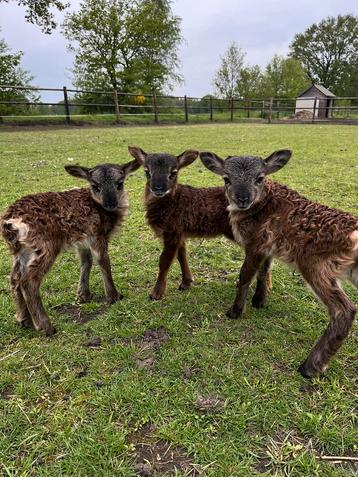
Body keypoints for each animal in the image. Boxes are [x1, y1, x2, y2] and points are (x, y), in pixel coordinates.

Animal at [0, 160, 139, 334]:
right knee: (28, 281)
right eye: (95, 185)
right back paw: (45, 326)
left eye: (120, 183)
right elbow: (103, 261)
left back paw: (24, 319)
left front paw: (83, 295)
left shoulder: (83, 240)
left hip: (22, 249)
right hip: (45, 245)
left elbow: (86, 262)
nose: (110, 204)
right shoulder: (97, 234)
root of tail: (10, 222)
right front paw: (114, 296)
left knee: (14, 278)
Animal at [126, 144, 272, 302]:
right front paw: (186, 283)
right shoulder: (180, 232)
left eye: (173, 173)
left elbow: (165, 260)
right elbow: (181, 256)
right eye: (147, 172)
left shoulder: (172, 230)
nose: (159, 188)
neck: (172, 202)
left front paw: (156, 293)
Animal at [200, 147, 356, 378]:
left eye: (260, 177)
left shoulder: (255, 242)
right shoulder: (267, 246)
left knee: (344, 310)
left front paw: (235, 311)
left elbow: (245, 275)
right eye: (226, 178)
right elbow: (264, 270)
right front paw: (259, 301)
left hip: (315, 265)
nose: (242, 198)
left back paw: (309, 367)